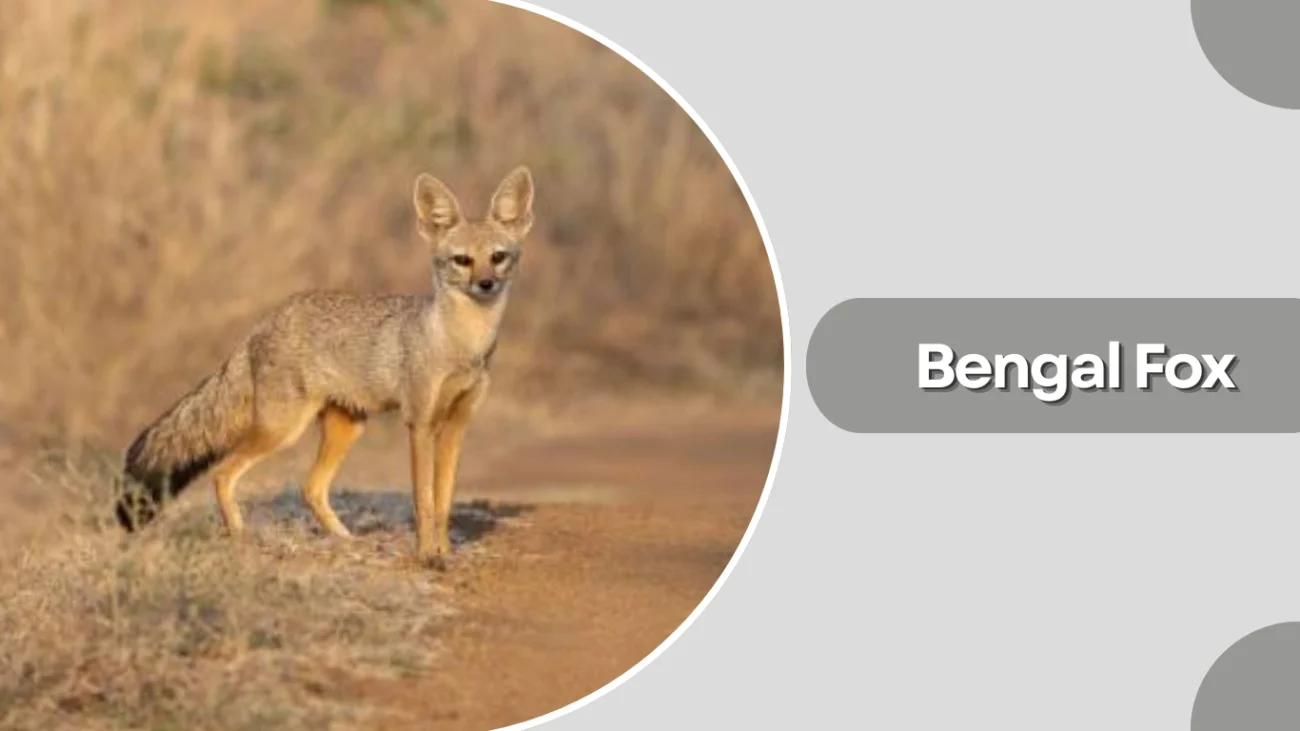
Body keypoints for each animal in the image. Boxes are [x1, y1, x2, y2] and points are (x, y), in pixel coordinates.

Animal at [113, 165, 536, 567]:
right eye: (462, 261)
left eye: (498, 257)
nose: (485, 284)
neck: (462, 346)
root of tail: (262, 323)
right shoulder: (419, 423)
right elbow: (424, 501)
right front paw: (427, 556)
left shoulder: (457, 425)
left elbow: (444, 501)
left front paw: (444, 552)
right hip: (282, 430)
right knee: (223, 473)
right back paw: (241, 537)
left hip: (345, 428)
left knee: (311, 488)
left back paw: (346, 541)